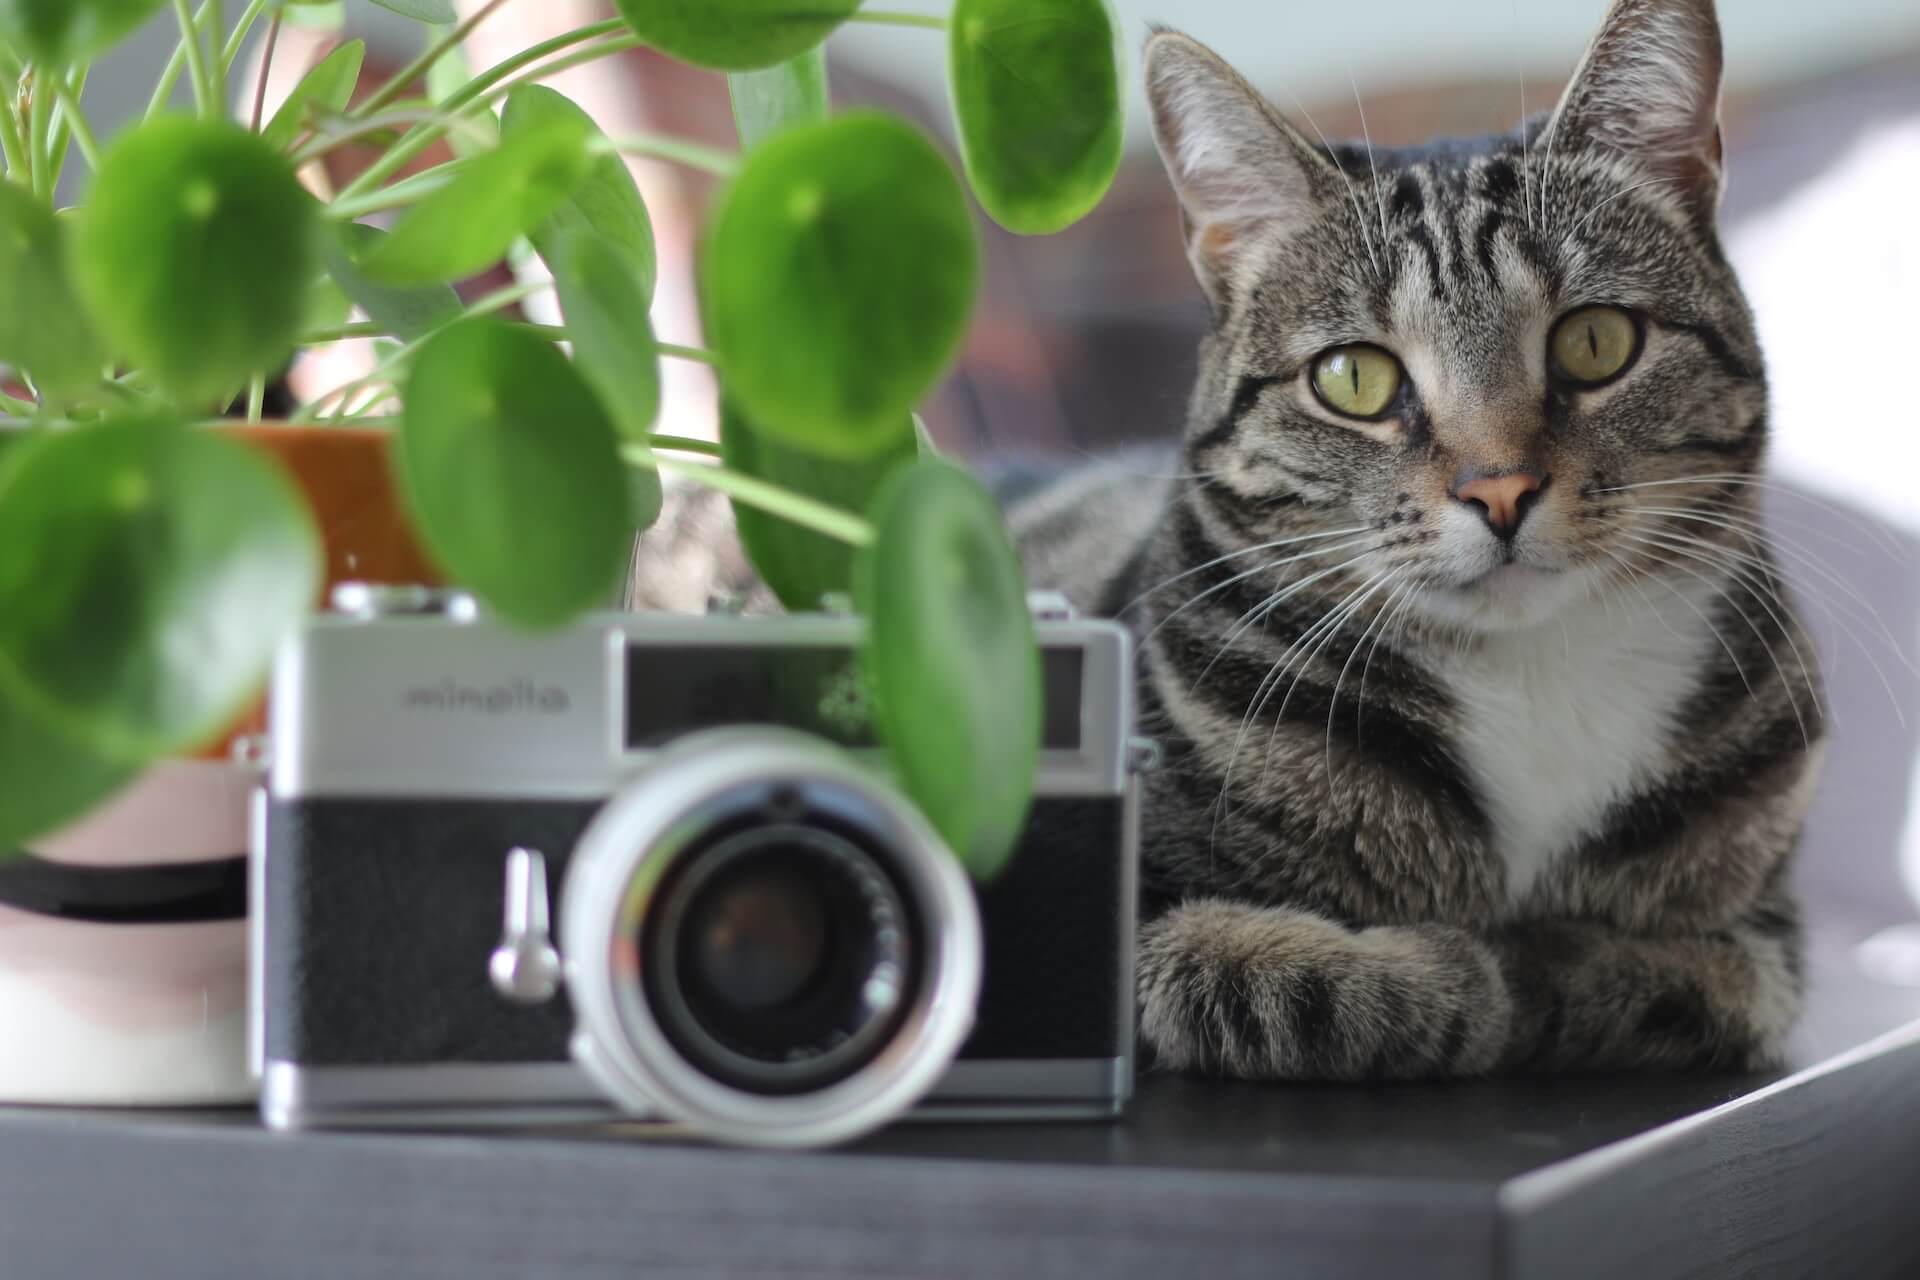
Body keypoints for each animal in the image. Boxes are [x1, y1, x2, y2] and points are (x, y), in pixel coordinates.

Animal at [1006, 0, 1827, 1082]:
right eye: (1353, 377)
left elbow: (1721, 980)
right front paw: (1460, 968)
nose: (1501, 487)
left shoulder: (1769, 923)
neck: (1534, 677)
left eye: (1596, 342)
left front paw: (1549, 967)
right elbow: (1265, 968)